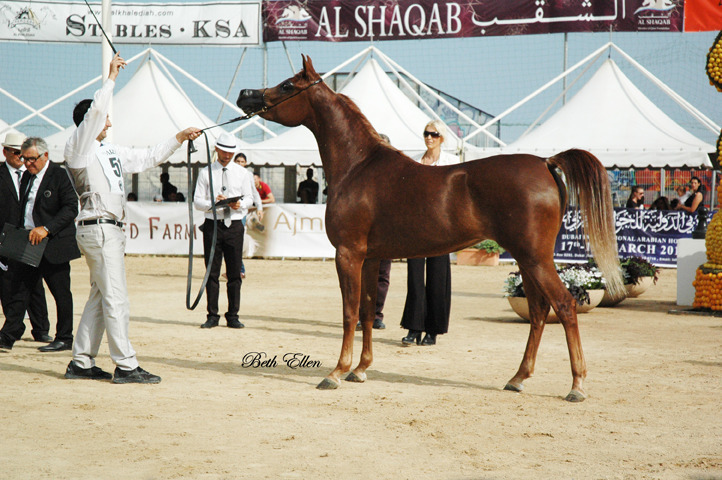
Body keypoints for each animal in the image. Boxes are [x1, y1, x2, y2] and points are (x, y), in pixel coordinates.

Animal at [237, 56, 624, 402]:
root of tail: (545, 162)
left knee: (564, 306)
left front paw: (336, 372)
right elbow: (367, 311)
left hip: (535, 258)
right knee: (540, 311)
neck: (359, 166)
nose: (245, 95)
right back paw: (517, 378)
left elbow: (349, 313)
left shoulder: (348, 254)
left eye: (288, 85)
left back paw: (576, 386)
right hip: (526, 259)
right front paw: (360, 370)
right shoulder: (370, 258)